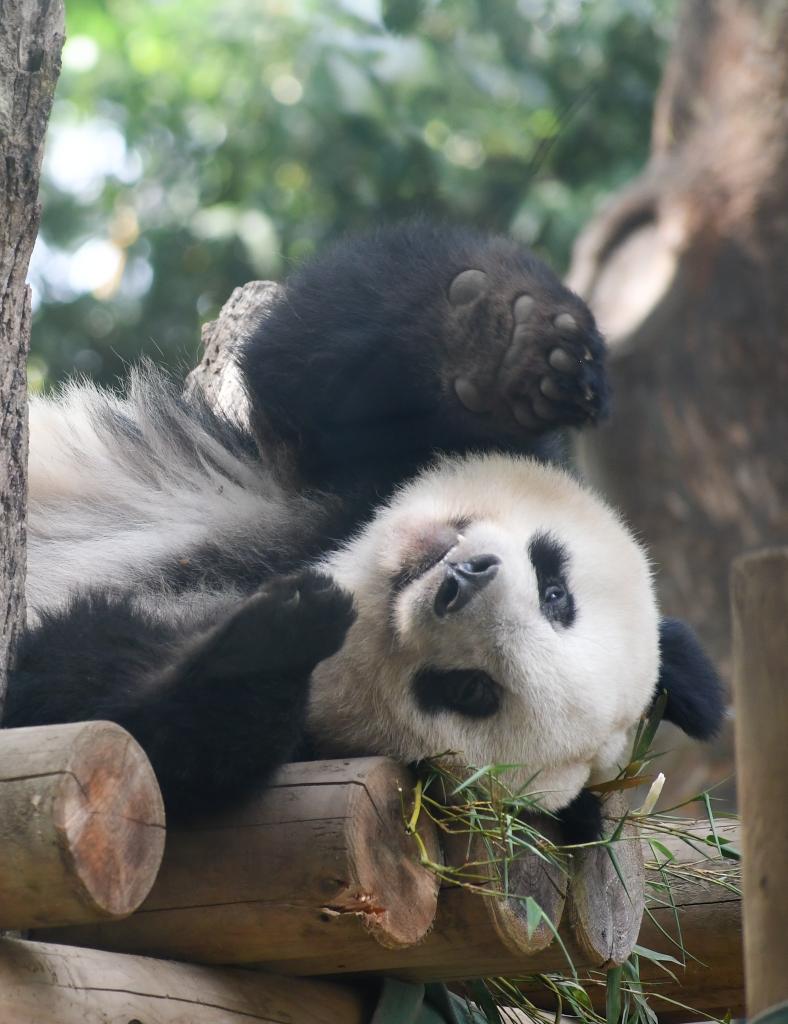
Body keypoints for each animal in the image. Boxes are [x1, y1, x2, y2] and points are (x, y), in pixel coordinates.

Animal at [3, 220, 720, 835]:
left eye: (472, 690)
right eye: (555, 591)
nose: (462, 581)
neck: (340, 560)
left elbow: (95, 715)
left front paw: (278, 639)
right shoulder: (353, 468)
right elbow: (320, 350)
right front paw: (518, 352)